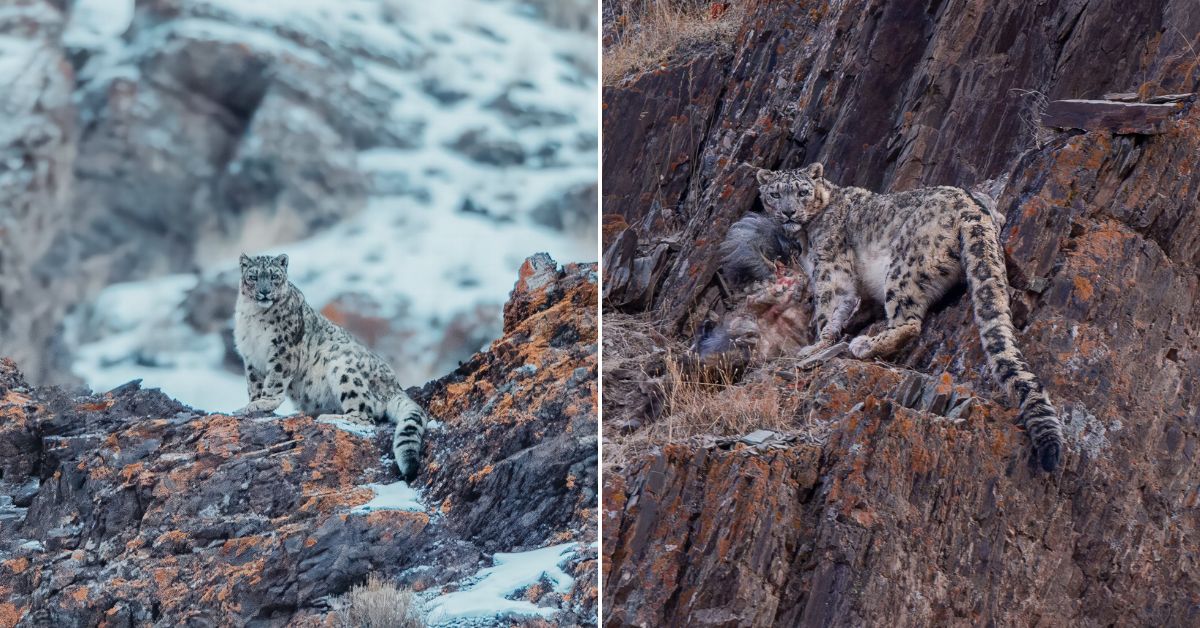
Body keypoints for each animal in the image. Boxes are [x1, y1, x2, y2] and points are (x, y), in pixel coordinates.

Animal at [232, 253, 427, 480]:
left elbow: (275, 380)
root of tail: (394, 385)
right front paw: (251, 403)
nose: (264, 291)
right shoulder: (250, 357)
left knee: (366, 413)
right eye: (253, 277)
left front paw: (262, 403)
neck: (254, 316)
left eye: (274, 276)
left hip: (342, 368)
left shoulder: (283, 350)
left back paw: (329, 417)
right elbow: (254, 383)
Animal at [739, 162, 1070, 470]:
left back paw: (865, 345)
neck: (807, 237)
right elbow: (846, 307)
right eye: (775, 194)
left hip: (903, 267)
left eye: (802, 192)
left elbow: (828, 306)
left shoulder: (830, 268)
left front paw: (816, 345)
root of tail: (972, 207)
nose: (788, 212)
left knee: (909, 321)